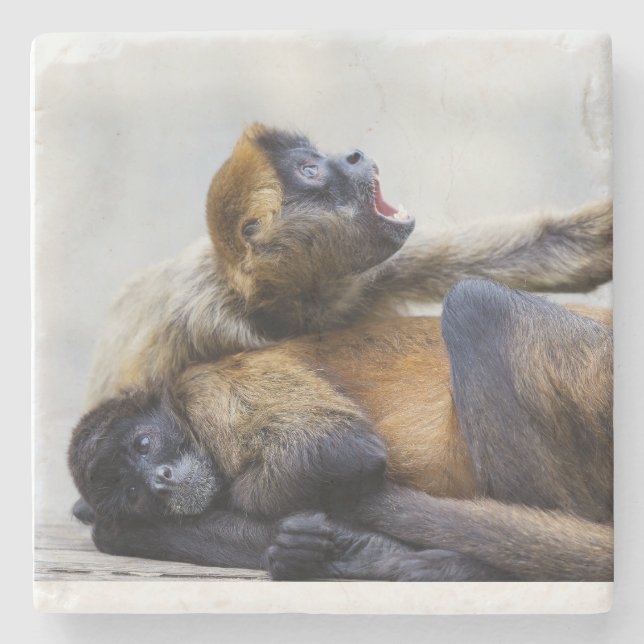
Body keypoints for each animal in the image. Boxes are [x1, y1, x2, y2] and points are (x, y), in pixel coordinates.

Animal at [69, 280, 613, 581]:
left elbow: (340, 451)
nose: (158, 480)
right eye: (131, 491)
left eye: (144, 445)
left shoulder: (210, 390)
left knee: (475, 304)